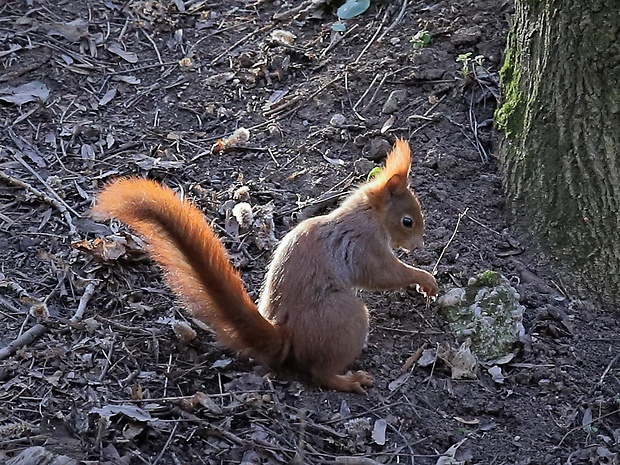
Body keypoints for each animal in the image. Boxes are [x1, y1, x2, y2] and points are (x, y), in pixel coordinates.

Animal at [94, 140, 438, 394]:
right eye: (408, 221)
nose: (419, 246)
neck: (368, 213)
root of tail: (283, 335)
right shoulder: (365, 245)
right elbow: (384, 274)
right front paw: (425, 279)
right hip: (346, 317)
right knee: (320, 373)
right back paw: (350, 381)